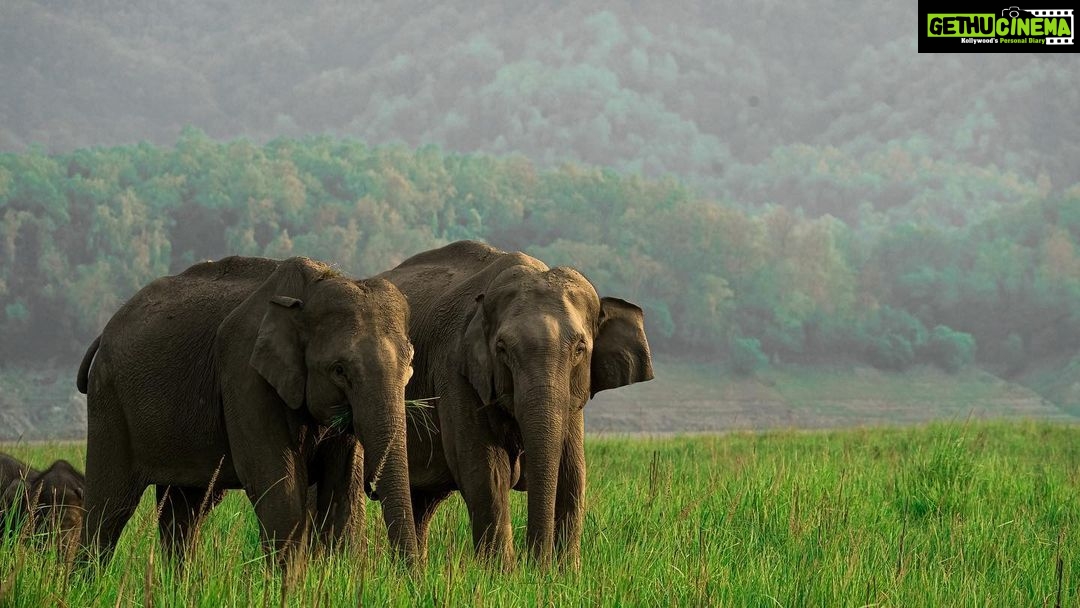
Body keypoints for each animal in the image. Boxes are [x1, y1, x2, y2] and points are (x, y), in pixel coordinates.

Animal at [75, 256, 418, 564]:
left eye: (409, 368)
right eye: (339, 370)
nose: (408, 579)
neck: (316, 286)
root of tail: (105, 331)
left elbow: (342, 495)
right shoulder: (244, 374)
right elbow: (279, 487)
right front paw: (286, 587)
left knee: (185, 508)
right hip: (108, 399)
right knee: (109, 506)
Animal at [375, 240, 653, 568]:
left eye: (580, 349)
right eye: (502, 349)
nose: (535, 561)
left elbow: (571, 475)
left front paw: (561, 574)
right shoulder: (455, 371)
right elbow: (486, 473)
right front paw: (504, 573)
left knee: (422, 502)